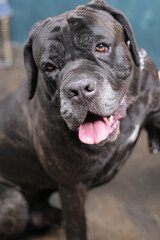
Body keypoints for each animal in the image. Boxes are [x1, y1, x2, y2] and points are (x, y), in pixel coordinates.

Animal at [0, 0, 160, 240]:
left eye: (101, 47)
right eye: (49, 67)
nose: (79, 89)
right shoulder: (72, 190)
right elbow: (77, 229)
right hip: (14, 205)